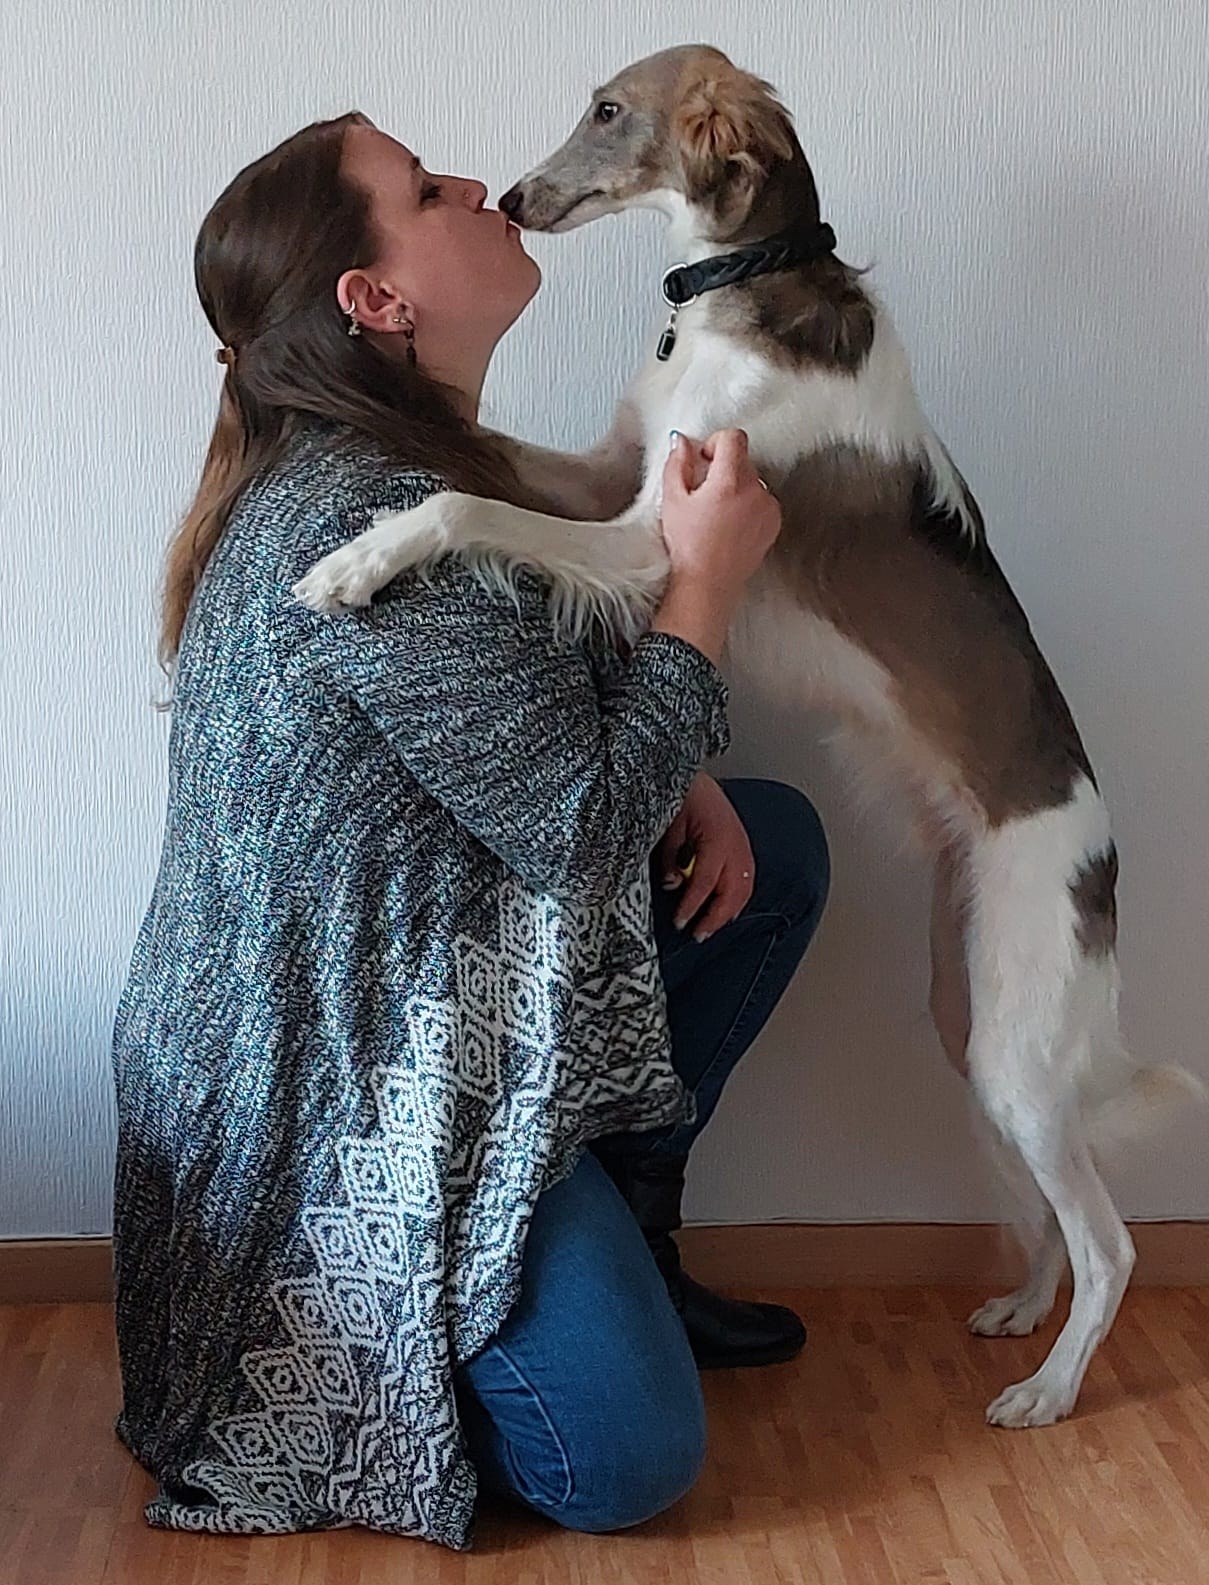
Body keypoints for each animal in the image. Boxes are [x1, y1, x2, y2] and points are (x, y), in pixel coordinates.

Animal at [294, 45, 1200, 1426]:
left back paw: (1049, 1389)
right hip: (974, 1022)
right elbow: (481, 457)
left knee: (1112, 1242)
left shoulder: (653, 537)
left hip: (1019, 1037)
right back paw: (1020, 1313)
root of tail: (1101, 859)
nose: (512, 201)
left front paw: (358, 561)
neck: (737, 293)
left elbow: (459, 500)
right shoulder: (610, 470)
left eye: (609, 110)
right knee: (1057, 1214)